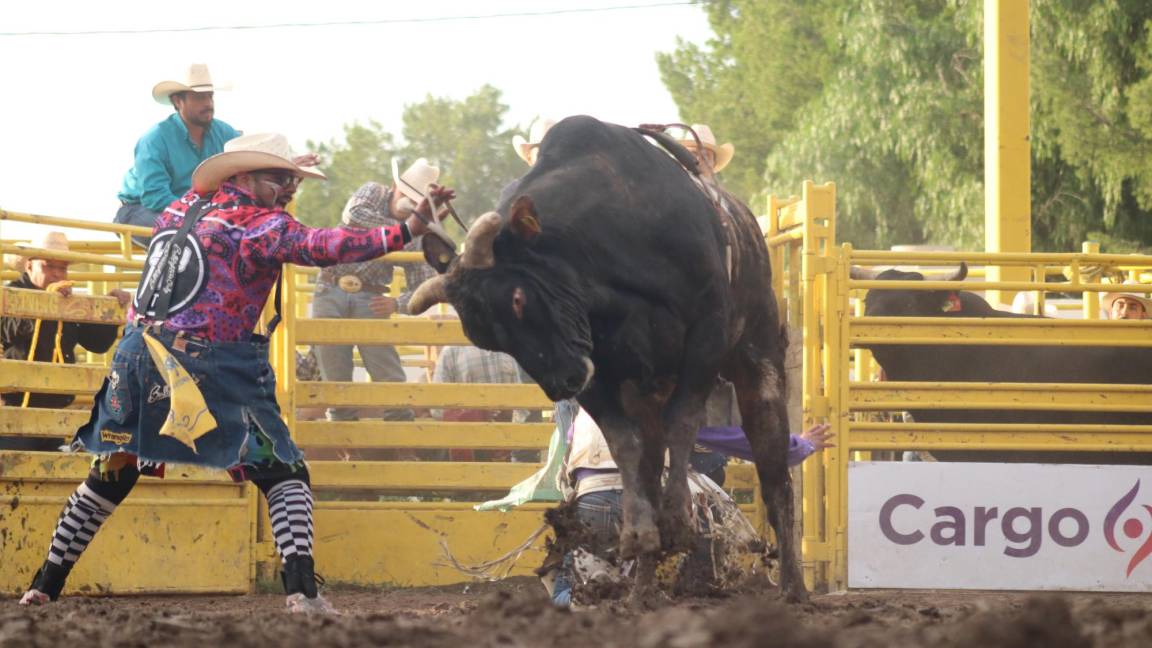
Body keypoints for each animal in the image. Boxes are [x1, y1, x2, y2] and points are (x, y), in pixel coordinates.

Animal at [410, 114, 806, 599]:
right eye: (485, 337)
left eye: (518, 298)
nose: (560, 384)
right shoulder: (594, 371)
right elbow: (624, 444)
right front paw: (639, 531)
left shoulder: (706, 334)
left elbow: (684, 422)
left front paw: (678, 516)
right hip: (645, 390)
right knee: (651, 460)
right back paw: (642, 589)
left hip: (757, 358)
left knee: (774, 472)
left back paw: (793, 586)